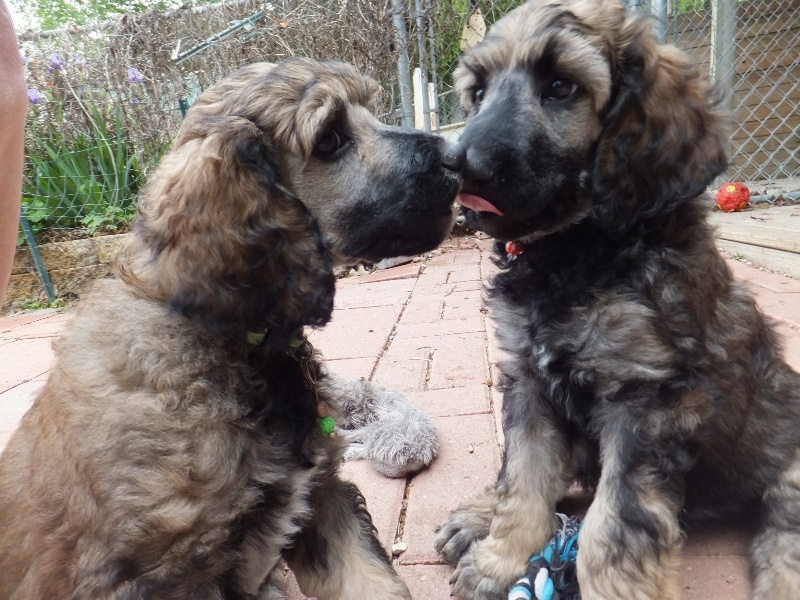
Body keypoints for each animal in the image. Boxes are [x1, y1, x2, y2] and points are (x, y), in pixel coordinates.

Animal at [0, 58, 462, 599]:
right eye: (330, 139)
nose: (457, 157)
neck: (232, 345)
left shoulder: (322, 498)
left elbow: (372, 582)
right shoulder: (177, 574)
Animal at [433, 1, 800, 599]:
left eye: (562, 86)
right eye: (479, 92)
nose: (459, 166)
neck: (574, 251)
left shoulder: (646, 399)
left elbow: (614, 523)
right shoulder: (529, 380)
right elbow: (525, 477)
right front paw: (499, 562)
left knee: (783, 534)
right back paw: (475, 517)